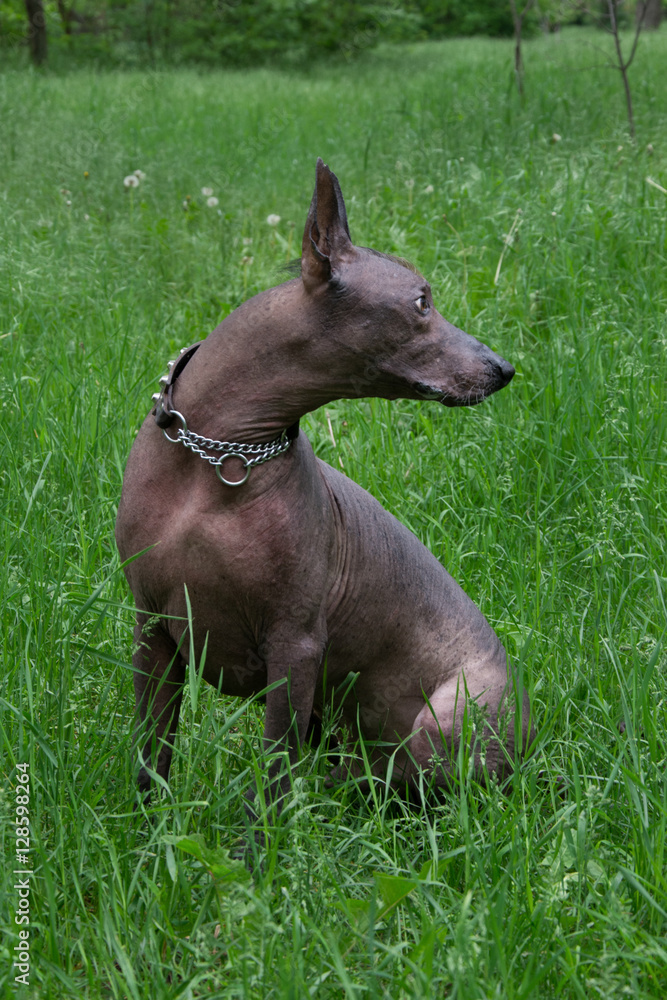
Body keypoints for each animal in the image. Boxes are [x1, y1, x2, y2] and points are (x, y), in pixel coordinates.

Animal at [115, 156, 532, 828]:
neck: (220, 457)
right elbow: (151, 755)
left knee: (387, 783)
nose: (504, 369)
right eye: (422, 302)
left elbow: (272, 777)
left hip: (443, 726)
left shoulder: (296, 646)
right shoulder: (152, 632)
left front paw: (256, 851)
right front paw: (146, 836)